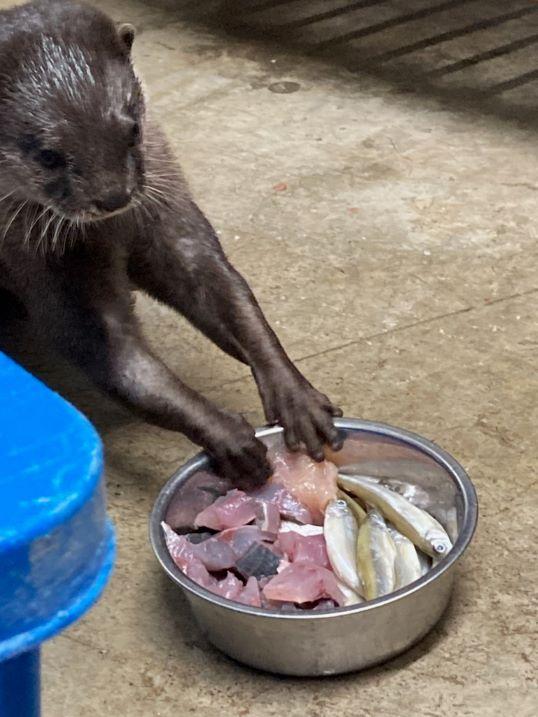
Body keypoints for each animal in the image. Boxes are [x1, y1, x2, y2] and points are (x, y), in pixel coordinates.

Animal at [0, 0, 342, 484]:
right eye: (47, 155)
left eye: (132, 129)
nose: (114, 196)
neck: (106, 232)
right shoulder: (43, 265)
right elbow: (113, 353)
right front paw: (222, 433)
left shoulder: (169, 218)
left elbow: (224, 292)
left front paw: (295, 395)